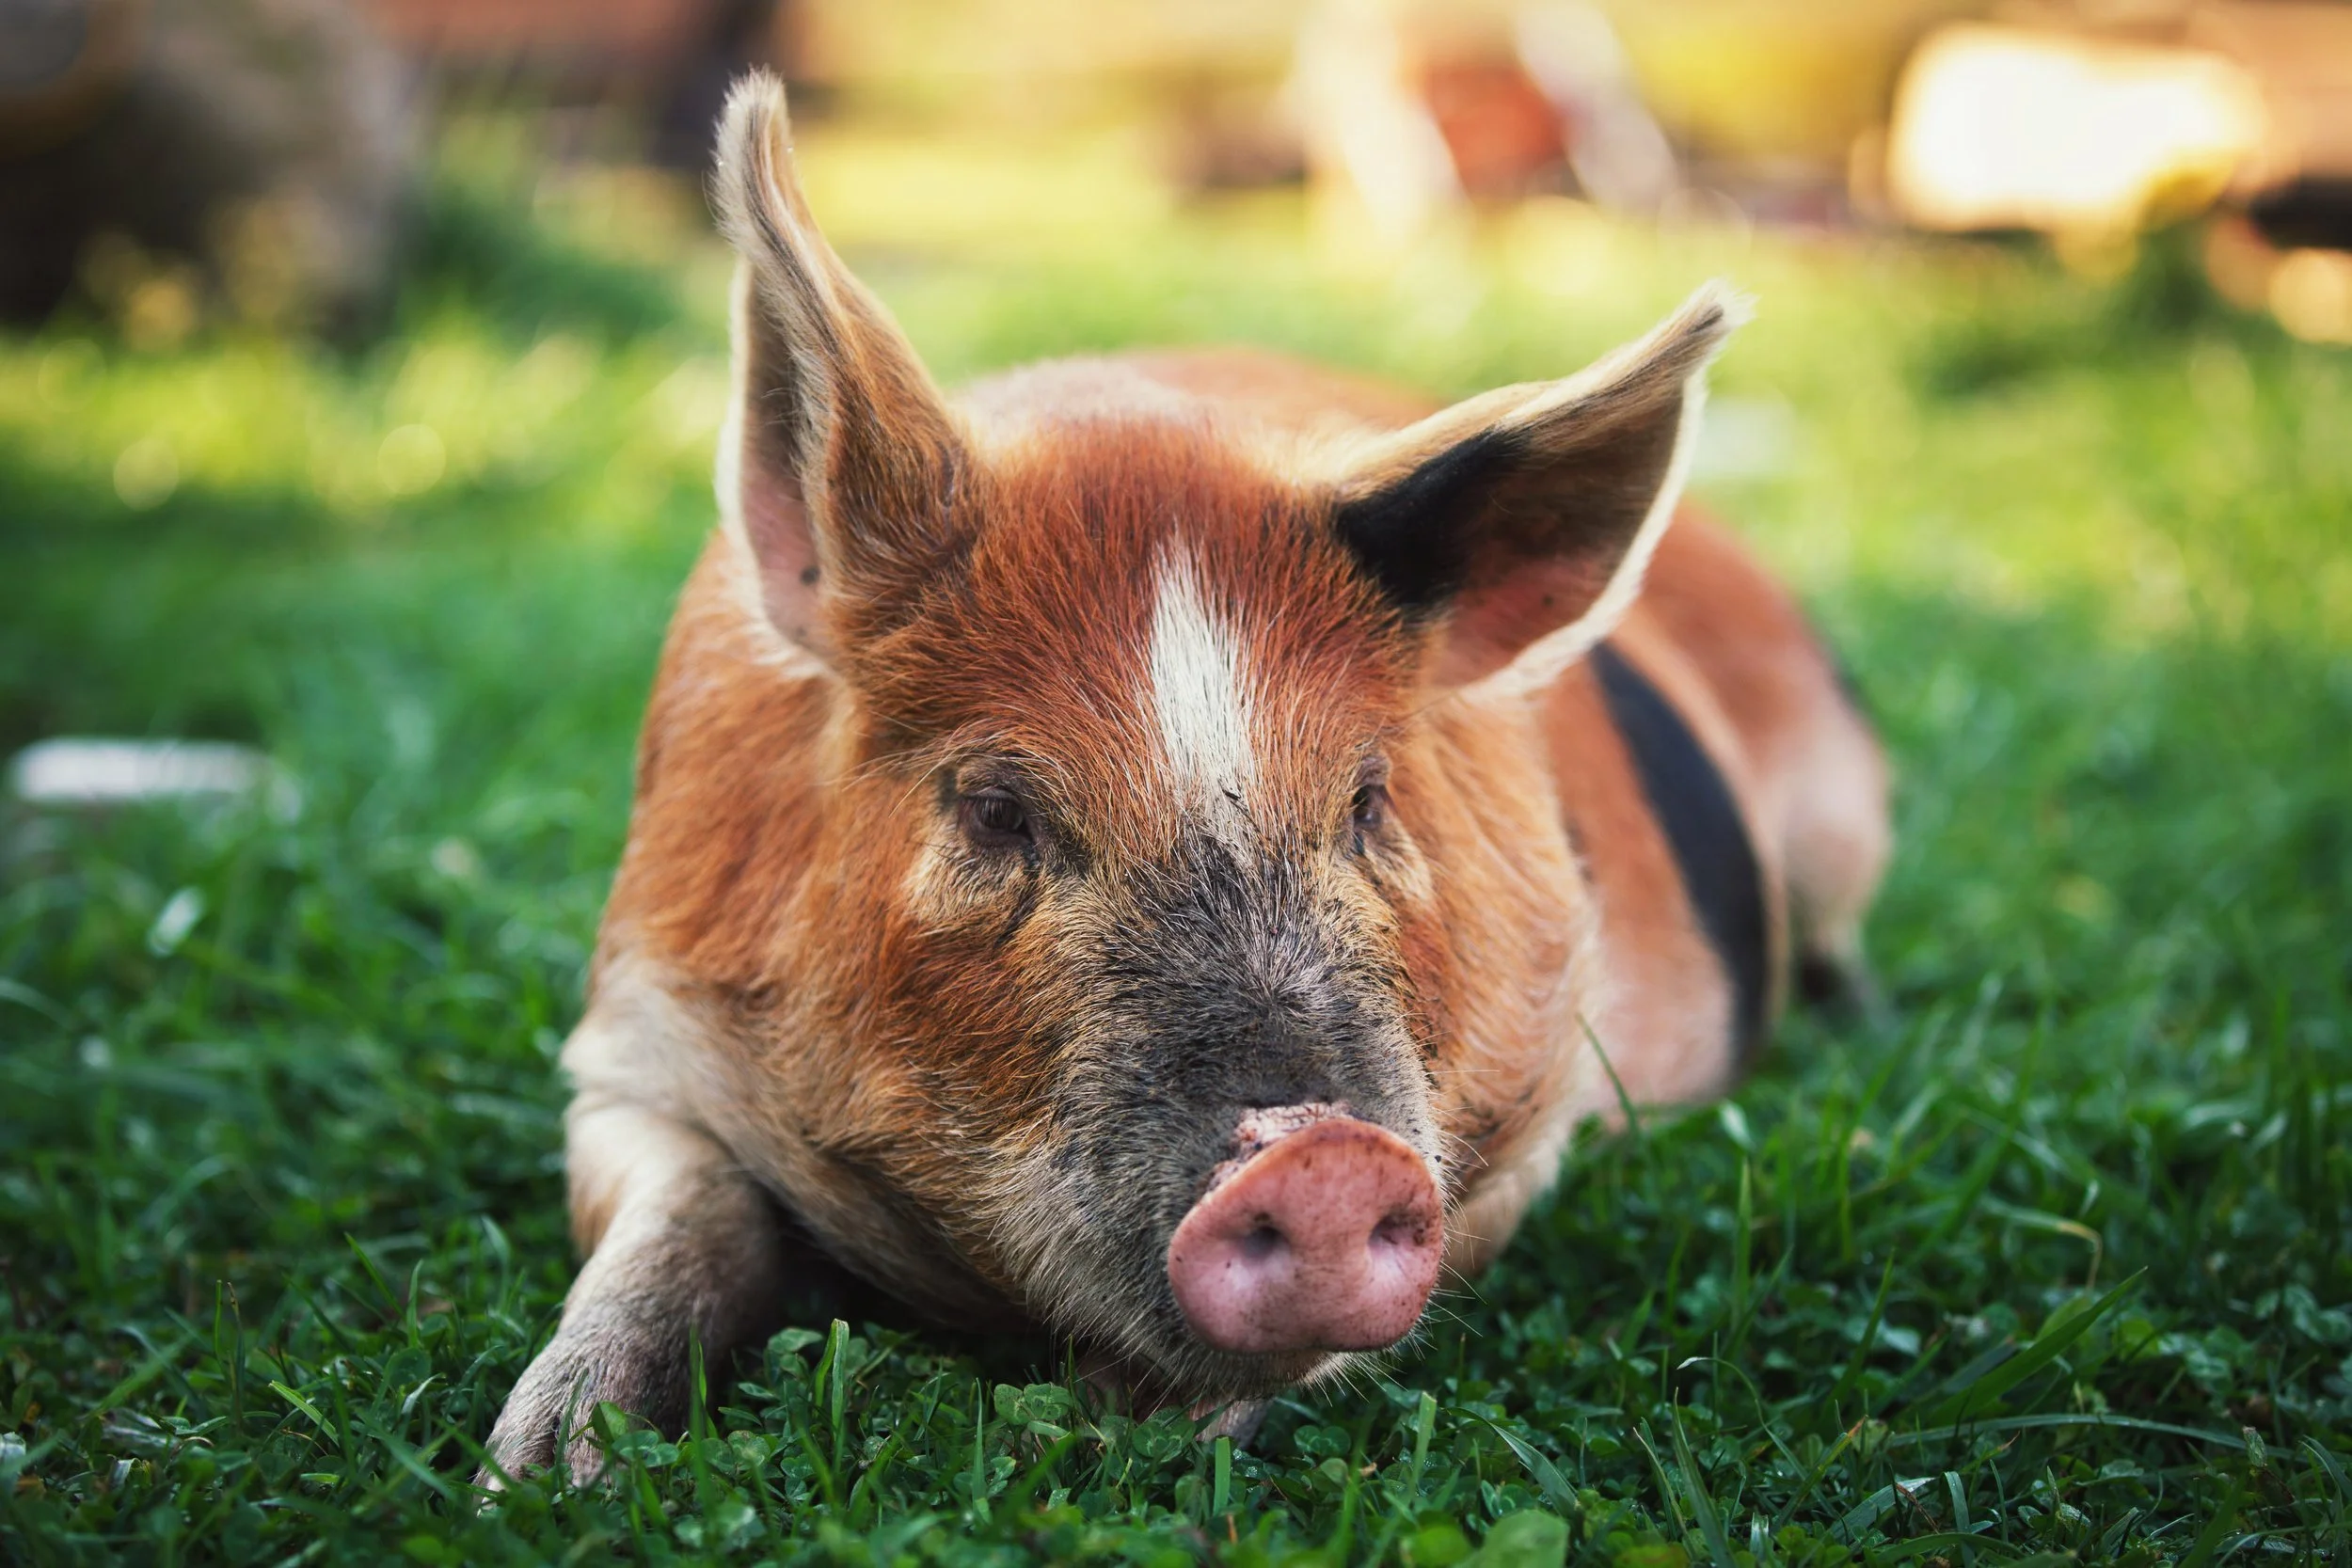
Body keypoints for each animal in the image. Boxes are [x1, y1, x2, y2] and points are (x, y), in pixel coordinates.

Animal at [480, 71, 1890, 1484]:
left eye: (1368, 799)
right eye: (995, 805)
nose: (1321, 1157)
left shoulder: (1535, 1100)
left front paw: (1120, 1428)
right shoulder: (629, 1032)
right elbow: (676, 1212)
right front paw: (541, 1469)